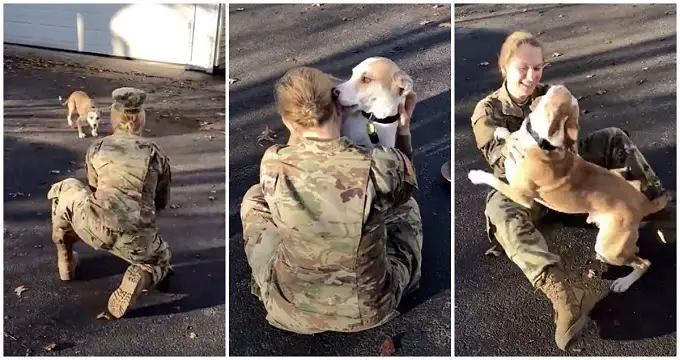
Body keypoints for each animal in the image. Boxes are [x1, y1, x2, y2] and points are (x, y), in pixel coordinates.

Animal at [468, 86, 668, 294]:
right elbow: (508, 138)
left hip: (609, 247)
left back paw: (624, 282)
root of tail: (643, 203)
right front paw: (502, 132)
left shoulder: (521, 195)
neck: (538, 141)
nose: (556, 87)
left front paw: (476, 175)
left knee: (644, 263)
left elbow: (493, 179)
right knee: (634, 252)